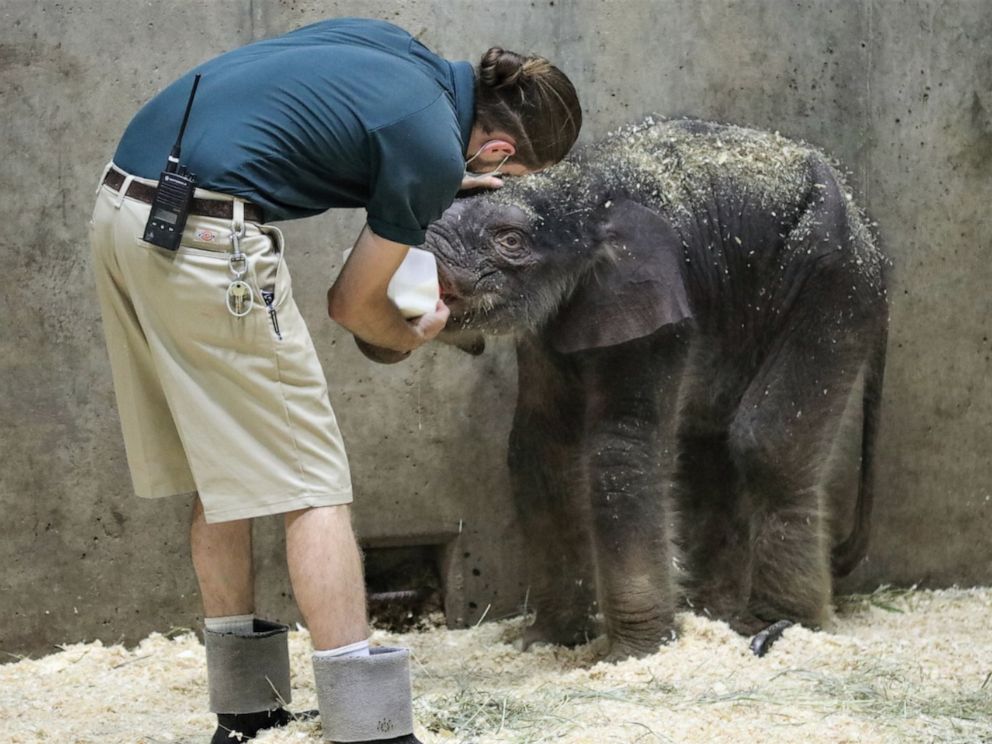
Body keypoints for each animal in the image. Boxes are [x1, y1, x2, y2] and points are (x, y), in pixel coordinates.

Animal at [422, 116, 888, 656]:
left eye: (510, 241)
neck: (588, 185)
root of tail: (869, 229)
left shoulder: (658, 303)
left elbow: (622, 450)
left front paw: (635, 654)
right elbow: (539, 450)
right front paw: (547, 642)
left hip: (834, 283)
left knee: (765, 444)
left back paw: (775, 627)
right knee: (708, 445)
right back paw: (716, 616)